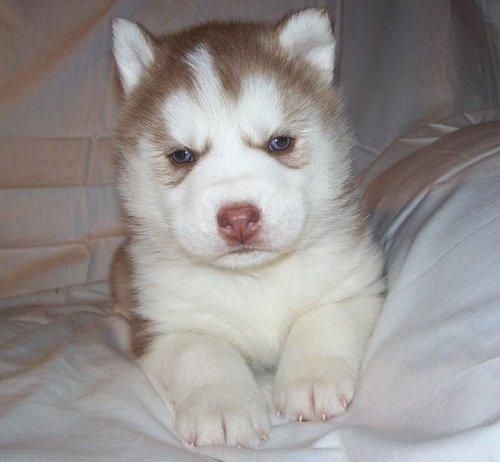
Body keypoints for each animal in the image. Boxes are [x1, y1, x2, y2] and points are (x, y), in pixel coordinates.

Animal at [111, 8, 384, 448]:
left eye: (280, 142)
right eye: (181, 155)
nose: (238, 217)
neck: (253, 277)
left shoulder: (354, 283)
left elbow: (323, 318)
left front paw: (311, 379)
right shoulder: (163, 324)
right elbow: (202, 352)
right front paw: (223, 406)